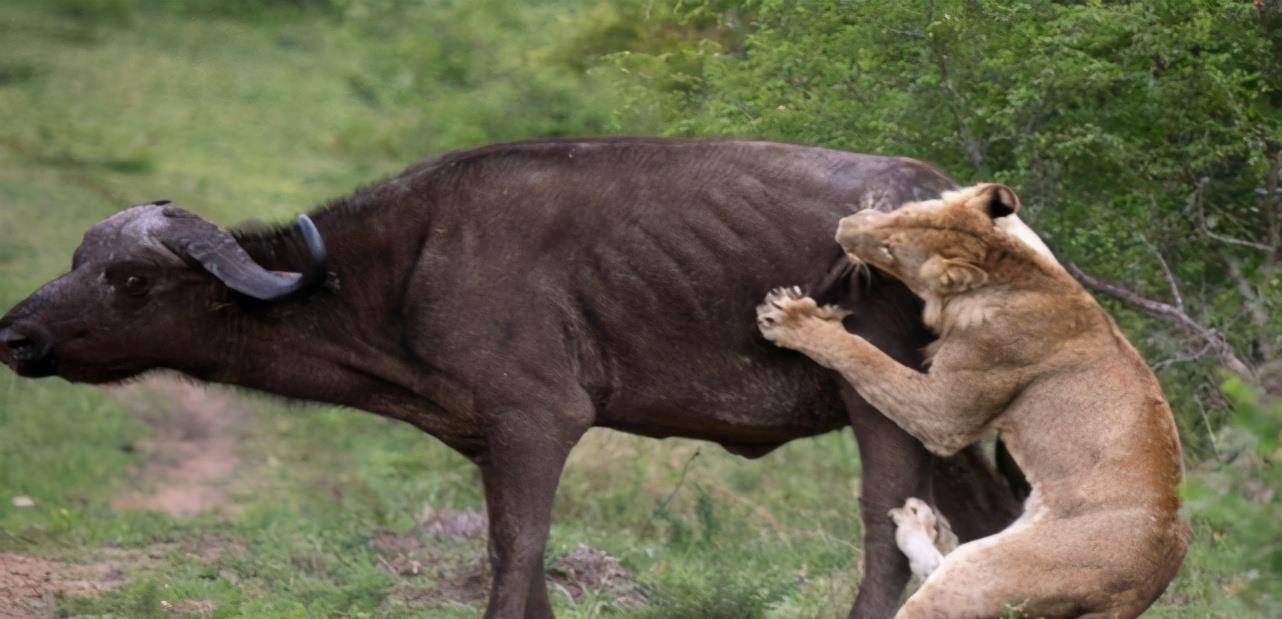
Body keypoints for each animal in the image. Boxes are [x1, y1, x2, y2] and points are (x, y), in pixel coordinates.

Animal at [0, 138, 1020, 617]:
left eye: (130, 280)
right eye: (77, 260)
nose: (16, 333)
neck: (402, 270)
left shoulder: (537, 423)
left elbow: (514, 556)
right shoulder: (495, 443)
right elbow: (520, 563)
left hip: (883, 408)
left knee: (885, 534)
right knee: (993, 518)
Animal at [753, 185, 1184, 619]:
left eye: (891, 250)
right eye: (904, 210)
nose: (844, 225)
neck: (1015, 269)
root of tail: (1139, 591)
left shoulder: (944, 416)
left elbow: (864, 356)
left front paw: (792, 320)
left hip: (978, 570)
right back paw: (918, 522)